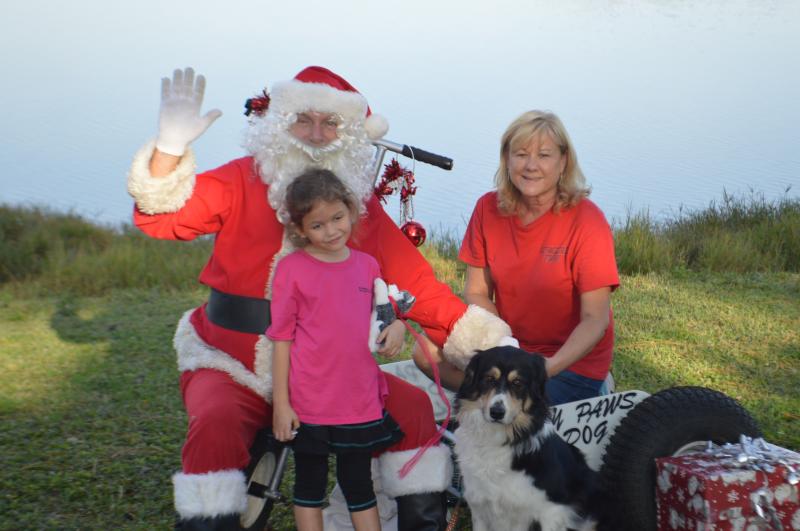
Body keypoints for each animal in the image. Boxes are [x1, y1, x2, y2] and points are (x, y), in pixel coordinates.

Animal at [453, 346, 604, 531]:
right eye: (489, 379)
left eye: (517, 383)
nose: (496, 413)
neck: (497, 438)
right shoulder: (479, 503)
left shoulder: (553, 511)